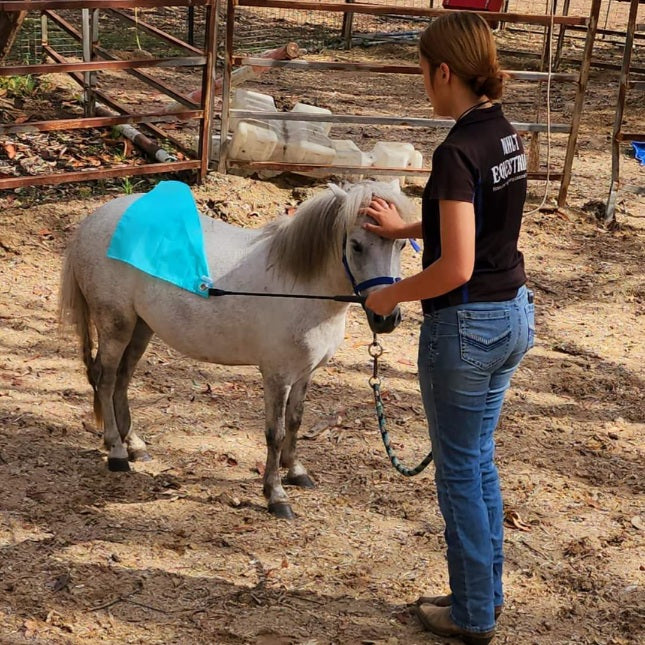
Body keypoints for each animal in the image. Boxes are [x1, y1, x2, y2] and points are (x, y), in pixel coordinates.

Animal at [57, 180, 416, 520]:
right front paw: (275, 495)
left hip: (141, 328)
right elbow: (275, 432)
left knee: (121, 381)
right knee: (105, 381)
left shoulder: (304, 374)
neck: (299, 287)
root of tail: (91, 222)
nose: (385, 318)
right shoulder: (277, 377)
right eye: (356, 245)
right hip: (115, 325)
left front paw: (295, 471)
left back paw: (134, 445)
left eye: (400, 243)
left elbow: (296, 421)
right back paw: (117, 452)